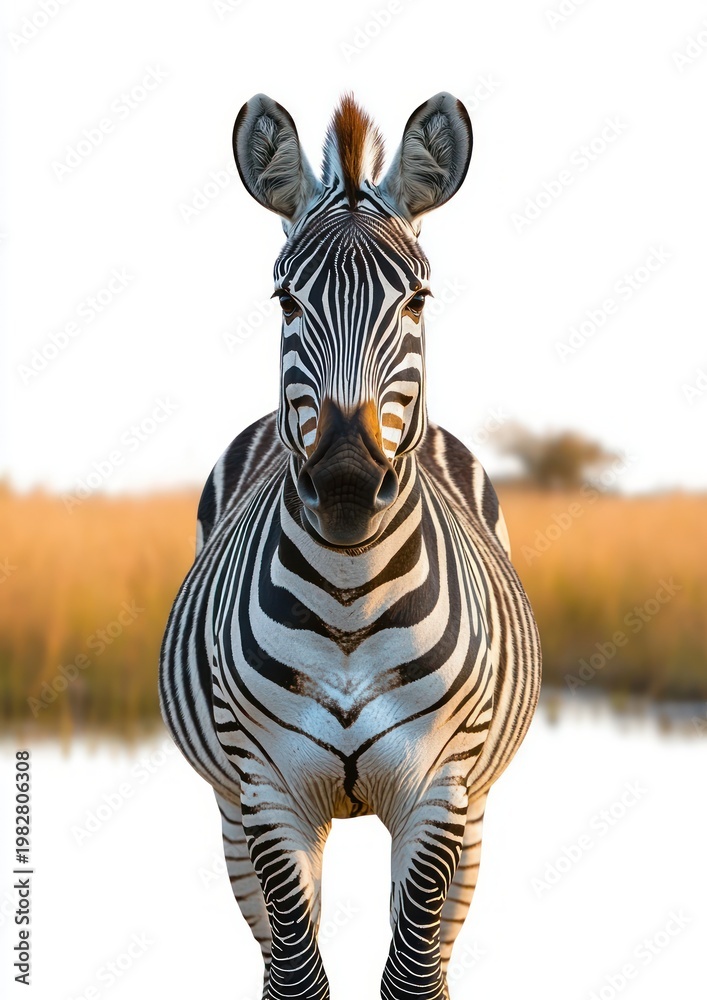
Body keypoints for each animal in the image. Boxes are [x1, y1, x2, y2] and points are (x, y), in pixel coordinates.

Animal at [159, 91, 541, 999]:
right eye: (285, 304)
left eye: (418, 303)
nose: (342, 484)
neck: (348, 591)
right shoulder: (266, 790)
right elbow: (299, 977)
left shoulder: (441, 788)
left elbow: (410, 976)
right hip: (230, 810)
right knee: (274, 954)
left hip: (473, 814)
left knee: (434, 953)